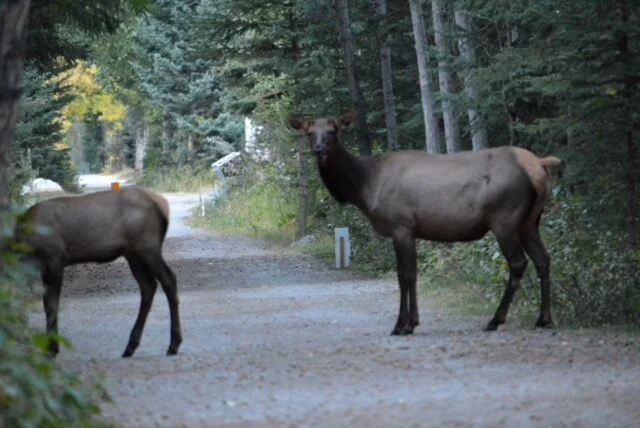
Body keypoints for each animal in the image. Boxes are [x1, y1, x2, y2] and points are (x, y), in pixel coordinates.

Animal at [16, 186, 182, 358]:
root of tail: (163, 205)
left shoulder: (54, 258)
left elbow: (51, 304)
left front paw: (52, 348)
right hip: (132, 253)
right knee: (148, 285)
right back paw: (130, 346)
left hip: (148, 244)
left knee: (169, 279)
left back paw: (173, 345)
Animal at [288, 111, 561, 335]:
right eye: (310, 132)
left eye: (333, 130)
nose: (319, 149)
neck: (364, 187)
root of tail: (539, 165)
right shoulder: (410, 231)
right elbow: (414, 273)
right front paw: (414, 321)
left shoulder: (401, 226)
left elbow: (405, 275)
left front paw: (402, 325)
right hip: (530, 222)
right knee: (543, 259)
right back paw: (544, 319)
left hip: (505, 219)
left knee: (518, 262)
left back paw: (496, 319)